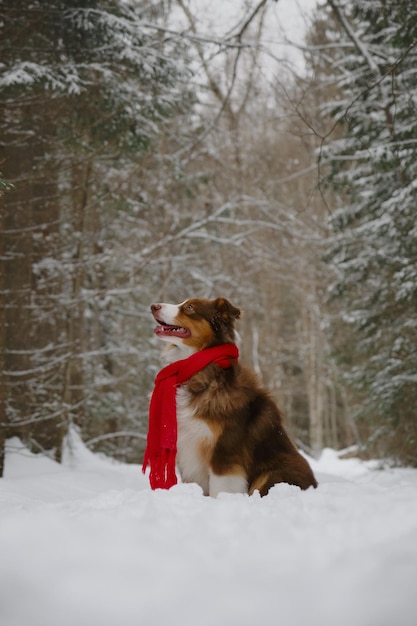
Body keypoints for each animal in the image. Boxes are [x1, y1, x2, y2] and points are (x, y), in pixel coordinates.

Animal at [150, 294, 316, 494]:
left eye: (190, 307)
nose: (153, 306)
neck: (202, 373)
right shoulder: (189, 446)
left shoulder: (224, 450)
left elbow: (221, 489)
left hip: (277, 470)